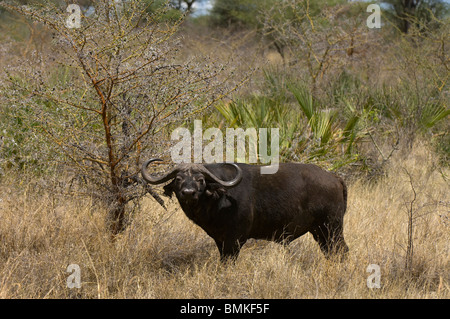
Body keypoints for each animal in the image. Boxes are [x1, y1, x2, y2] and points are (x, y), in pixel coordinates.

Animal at [141, 160, 348, 262]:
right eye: (178, 179)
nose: (188, 192)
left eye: (200, 180)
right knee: (331, 252)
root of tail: (334, 177)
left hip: (332, 228)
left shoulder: (235, 239)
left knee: (341, 251)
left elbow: (229, 261)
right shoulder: (220, 240)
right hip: (320, 232)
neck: (219, 198)